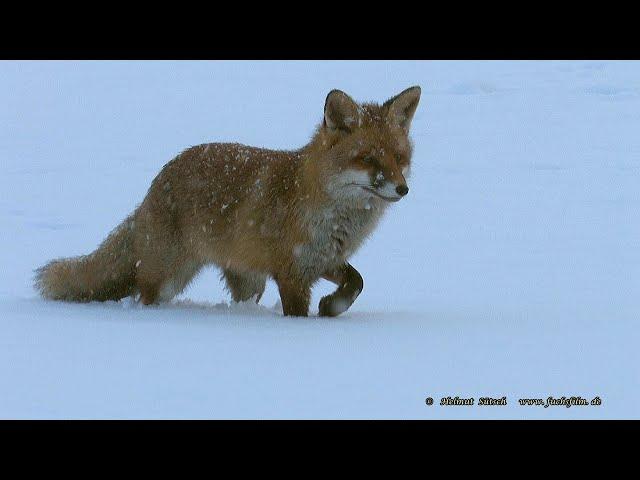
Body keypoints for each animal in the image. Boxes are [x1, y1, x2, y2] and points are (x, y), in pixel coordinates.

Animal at [35, 87, 420, 316]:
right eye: (369, 159)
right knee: (143, 297)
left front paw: (332, 306)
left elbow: (357, 281)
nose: (402, 189)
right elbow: (300, 311)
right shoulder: (292, 272)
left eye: (400, 158)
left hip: (250, 281)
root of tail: (157, 181)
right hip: (168, 278)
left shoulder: (321, 260)